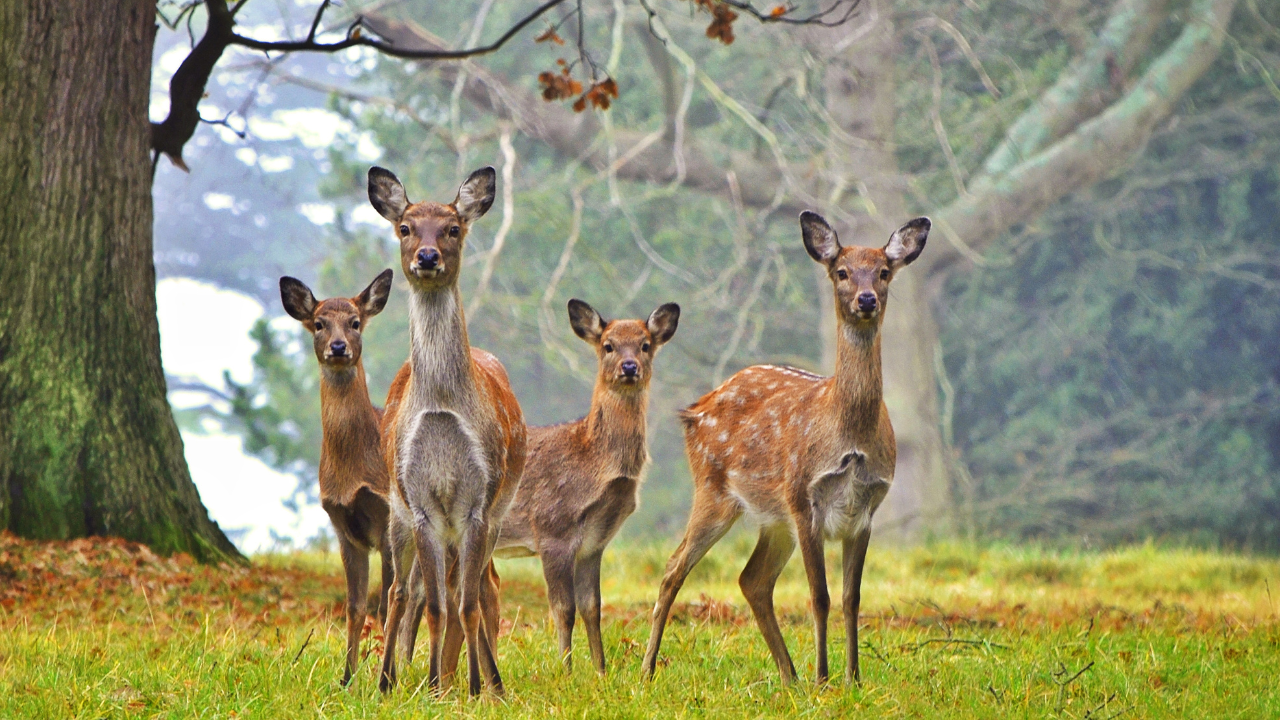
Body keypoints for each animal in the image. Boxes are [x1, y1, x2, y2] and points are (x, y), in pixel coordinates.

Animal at [280, 267, 394, 681]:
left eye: (355, 322)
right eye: (319, 323)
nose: (339, 346)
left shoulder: (389, 517)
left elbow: (386, 605)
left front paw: (386, 678)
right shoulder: (343, 527)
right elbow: (355, 606)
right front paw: (347, 678)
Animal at [368, 163, 527, 696]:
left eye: (453, 228)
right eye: (405, 227)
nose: (427, 256)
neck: (441, 407)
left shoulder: (479, 499)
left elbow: (467, 602)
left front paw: (475, 687)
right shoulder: (419, 503)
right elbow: (437, 604)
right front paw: (435, 684)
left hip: (495, 513)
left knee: (480, 588)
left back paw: (491, 679)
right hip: (395, 510)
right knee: (402, 590)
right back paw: (386, 679)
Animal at [640, 208, 931, 681]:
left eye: (884, 272)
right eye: (842, 272)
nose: (866, 299)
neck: (850, 437)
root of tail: (695, 410)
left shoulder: (866, 509)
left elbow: (852, 599)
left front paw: (853, 678)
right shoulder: (803, 497)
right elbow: (821, 597)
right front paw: (824, 678)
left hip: (773, 518)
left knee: (752, 580)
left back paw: (788, 676)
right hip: (715, 489)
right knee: (673, 567)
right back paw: (648, 669)